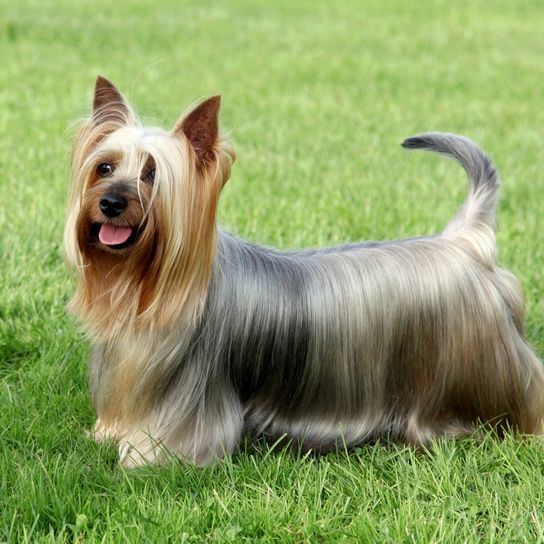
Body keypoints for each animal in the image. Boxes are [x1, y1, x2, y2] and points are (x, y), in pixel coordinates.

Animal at [66, 75, 544, 468]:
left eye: (151, 174)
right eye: (104, 167)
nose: (110, 202)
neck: (145, 281)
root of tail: (464, 240)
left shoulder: (193, 399)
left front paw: (143, 456)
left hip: (489, 364)